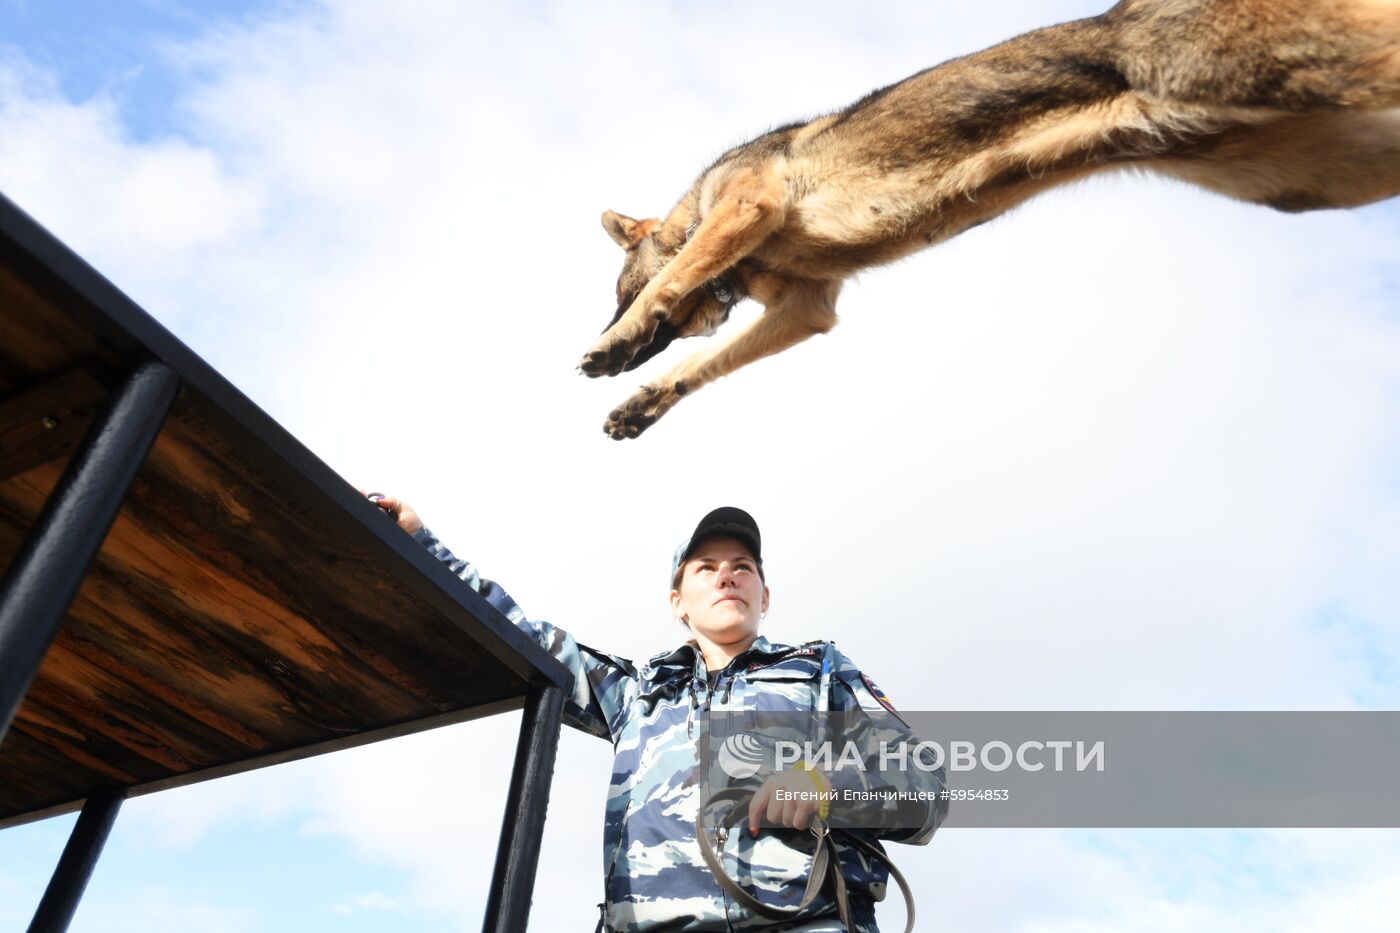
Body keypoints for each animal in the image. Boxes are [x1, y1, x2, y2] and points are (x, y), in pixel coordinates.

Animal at [579, 0, 1400, 437]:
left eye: (616, 291)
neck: (701, 212)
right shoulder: (809, 310)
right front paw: (643, 400)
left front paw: (616, 344)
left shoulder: (750, 208)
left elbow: (677, 280)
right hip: (1320, 172)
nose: (604, 327)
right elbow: (700, 364)